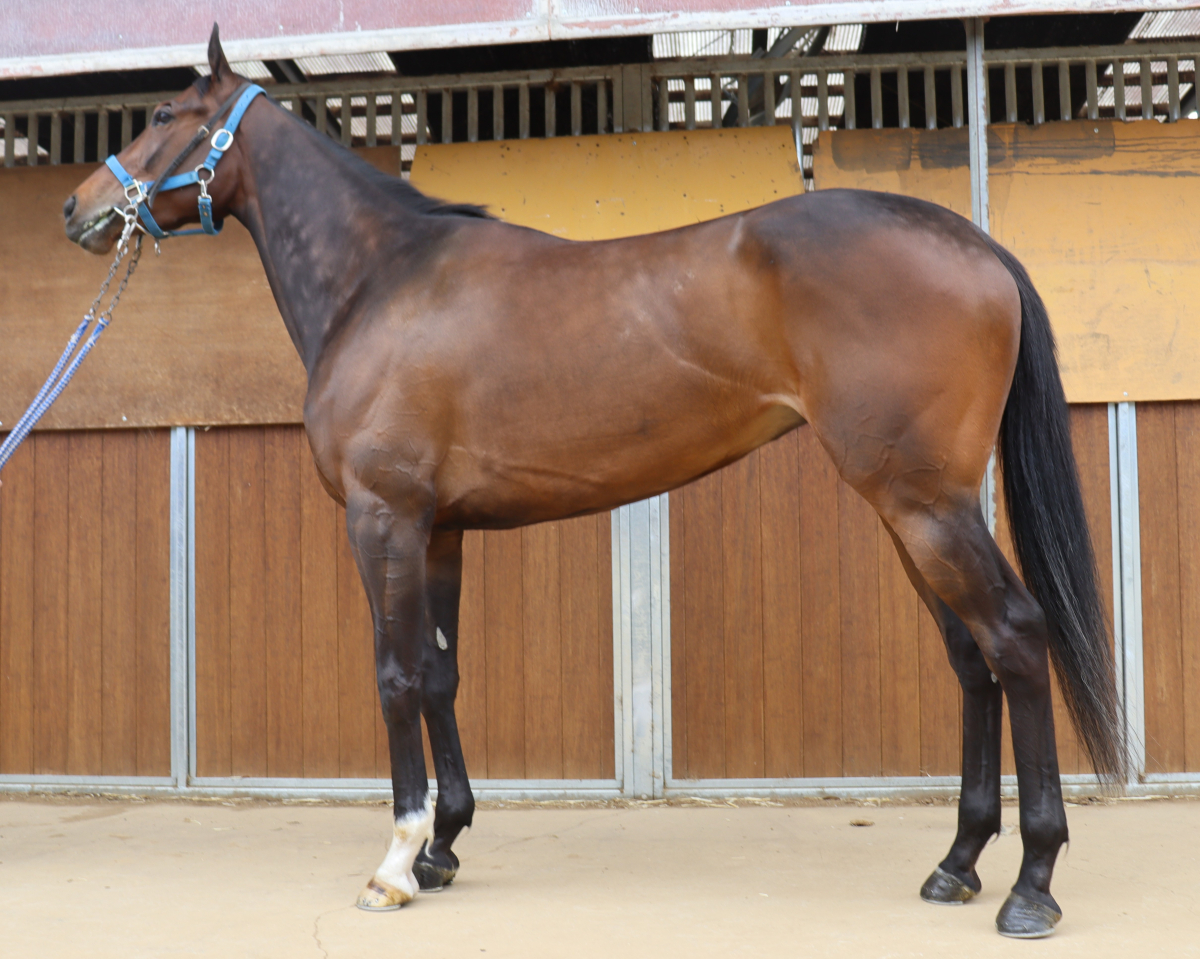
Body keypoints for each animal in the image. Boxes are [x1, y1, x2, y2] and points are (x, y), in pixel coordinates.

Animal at [62, 26, 1124, 939]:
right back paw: (957, 861)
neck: (381, 279)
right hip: (917, 511)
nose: (78, 209)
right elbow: (442, 672)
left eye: (161, 112)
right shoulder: (440, 527)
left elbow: (395, 673)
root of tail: (975, 244)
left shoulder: (383, 518)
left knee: (1015, 637)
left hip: (922, 503)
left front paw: (398, 862)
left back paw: (1030, 885)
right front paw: (445, 845)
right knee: (970, 656)